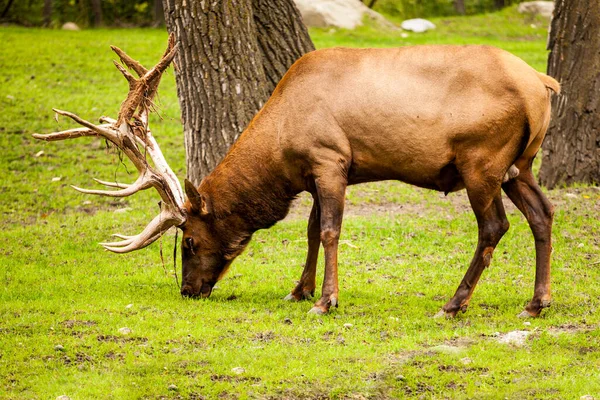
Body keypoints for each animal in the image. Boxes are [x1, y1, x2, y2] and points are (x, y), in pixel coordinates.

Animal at [35, 37, 560, 318]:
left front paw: (325, 300)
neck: (280, 146)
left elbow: (328, 231)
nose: (187, 290)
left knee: (494, 226)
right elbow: (308, 231)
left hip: (481, 162)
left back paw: (454, 303)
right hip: (520, 165)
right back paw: (536, 302)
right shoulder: (313, 173)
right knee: (543, 214)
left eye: (190, 241)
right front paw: (298, 288)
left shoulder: (330, 160)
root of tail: (542, 84)